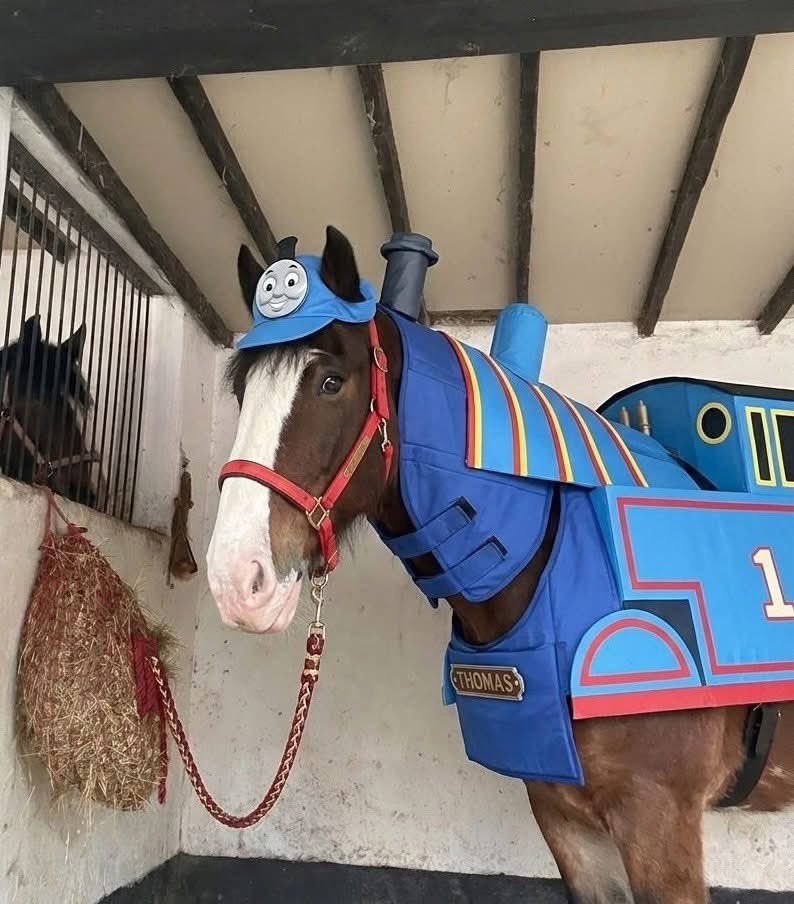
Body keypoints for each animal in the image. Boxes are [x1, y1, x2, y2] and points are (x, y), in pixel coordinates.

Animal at [206, 225, 794, 903]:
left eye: (331, 382)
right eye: (242, 391)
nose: (235, 579)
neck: (554, 564)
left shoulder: (660, 819)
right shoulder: (563, 816)